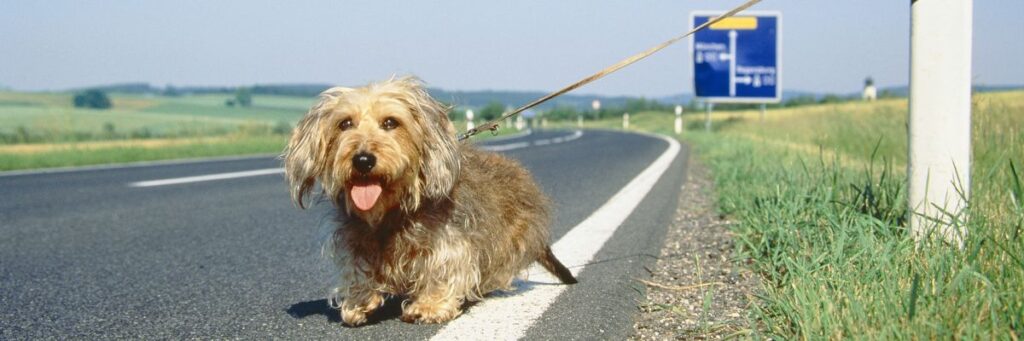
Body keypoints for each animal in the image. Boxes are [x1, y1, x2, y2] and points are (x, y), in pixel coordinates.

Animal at [282, 76, 577, 323]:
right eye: (344, 124)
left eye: (390, 122)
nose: (363, 160)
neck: (392, 211)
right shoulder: (354, 239)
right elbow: (357, 269)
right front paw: (358, 302)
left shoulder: (449, 240)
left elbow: (442, 269)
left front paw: (429, 306)